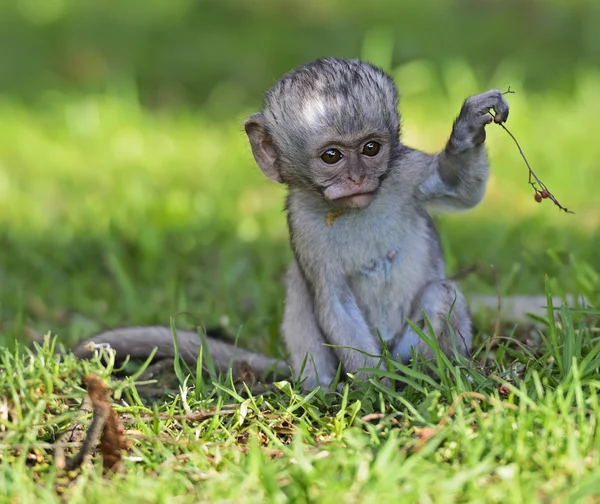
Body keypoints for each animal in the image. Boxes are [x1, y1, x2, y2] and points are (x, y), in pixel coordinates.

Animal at [72, 58, 508, 390]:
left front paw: (469, 128)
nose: (358, 179)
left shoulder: (402, 171)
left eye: (371, 148)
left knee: (441, 292)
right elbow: (332, 302)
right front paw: (378, 391)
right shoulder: (302, 222)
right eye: (332, 156)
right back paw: (323, 390)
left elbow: (460, 191)